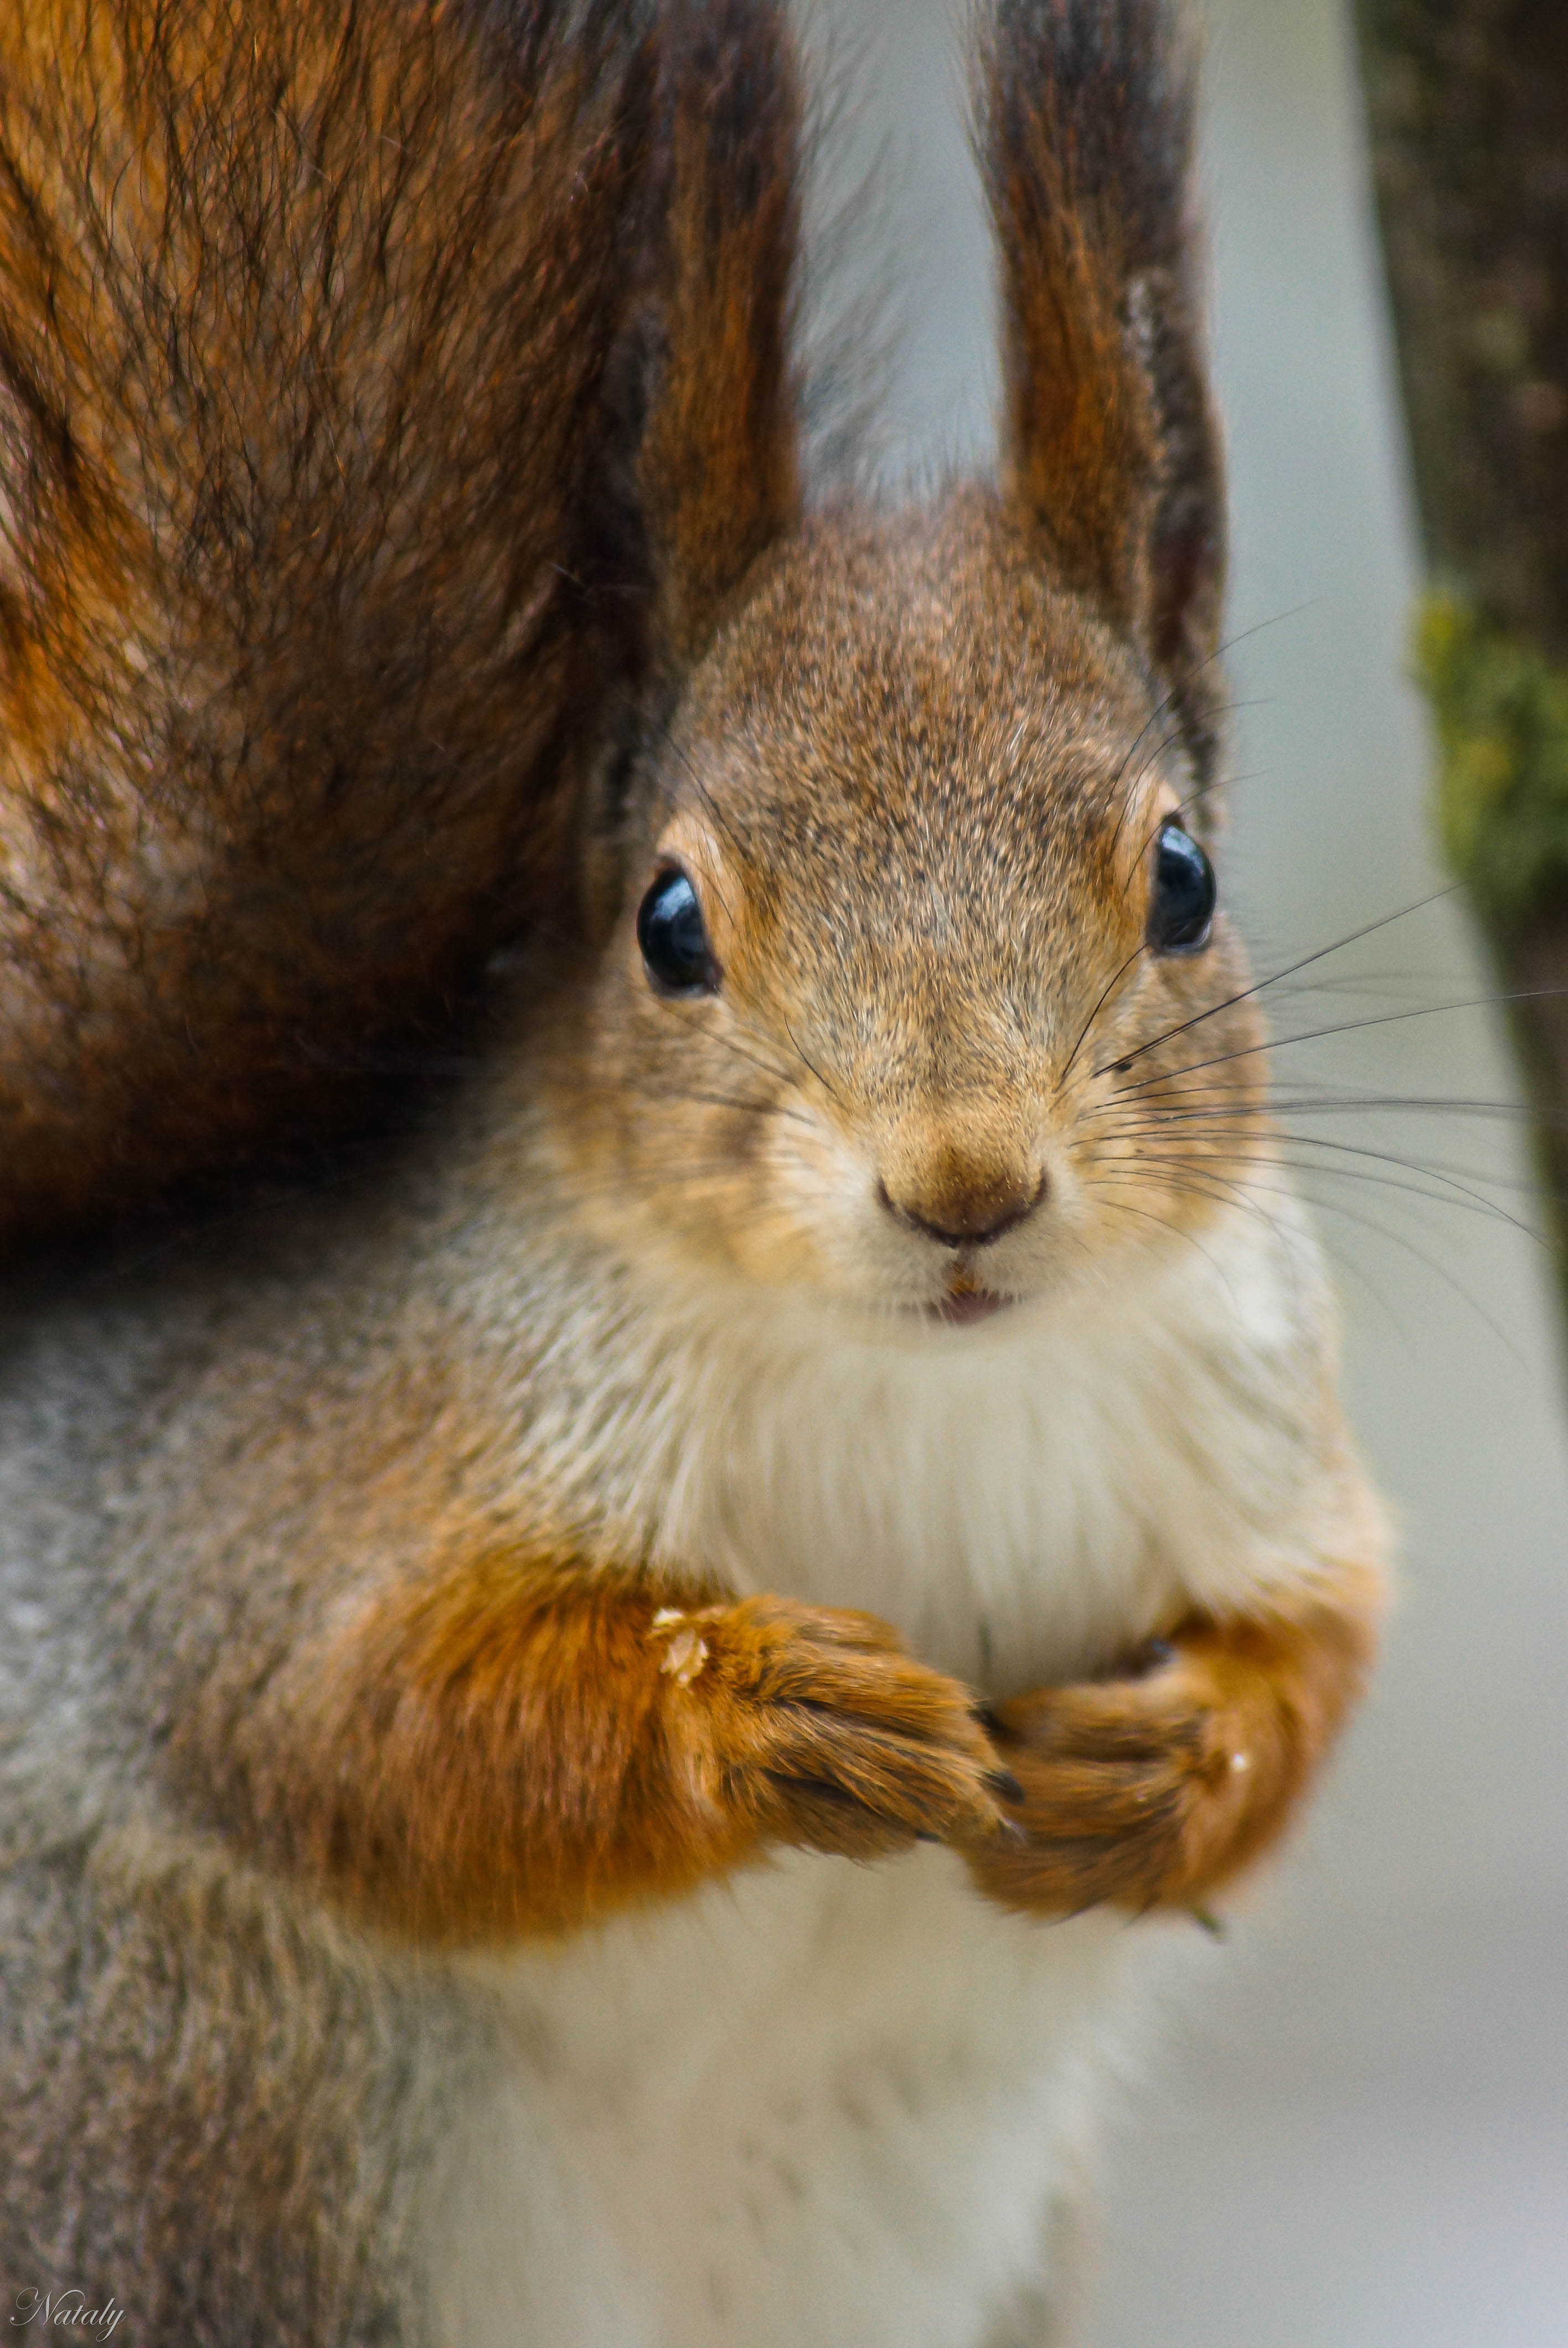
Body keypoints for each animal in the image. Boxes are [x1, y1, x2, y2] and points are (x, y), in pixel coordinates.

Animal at [3, 4, 1380, 2348]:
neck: (923, 1388)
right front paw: (754, 1709)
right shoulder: (309, 1467)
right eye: (666, 925)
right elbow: (346, 1718)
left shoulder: (1270, 1421)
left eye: (1185, 878)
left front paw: (1169, 1762)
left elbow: (1323, 1651)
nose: (964, 1188)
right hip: (189, 2133)